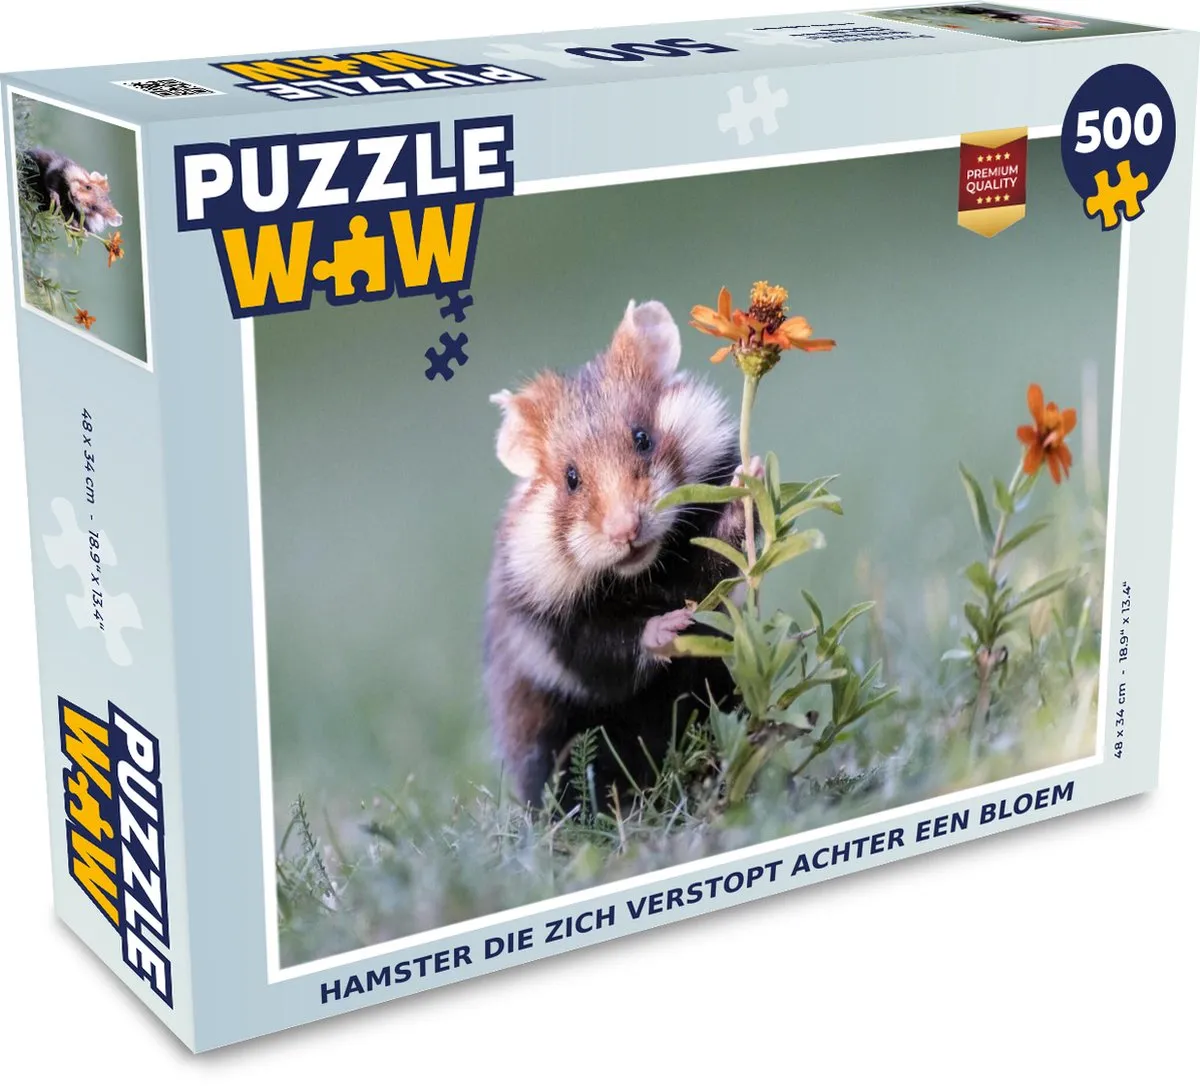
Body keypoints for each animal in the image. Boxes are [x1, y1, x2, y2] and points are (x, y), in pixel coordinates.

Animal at [485, 299, 751, 806]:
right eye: (570, 478)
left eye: (642, 438)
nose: (626, 530)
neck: (644, 574)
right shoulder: (550, 635)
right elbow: (610, 647)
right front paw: (671, 626)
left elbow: (718, 559)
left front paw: (753, 478)